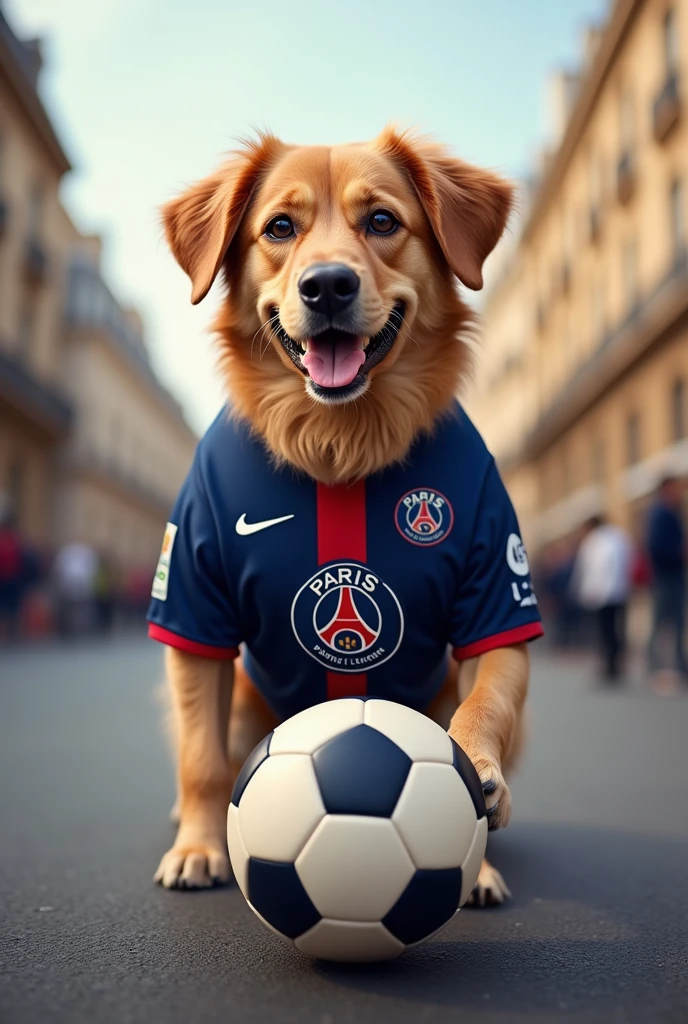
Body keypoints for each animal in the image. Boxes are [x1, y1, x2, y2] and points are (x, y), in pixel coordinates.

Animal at [150, 125, 544, 905]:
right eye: (279, 228)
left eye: (383, 221)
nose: (327, 284)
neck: (340, 445)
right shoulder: (191, 606)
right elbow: (202, 757)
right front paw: (199, 847)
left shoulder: (498, 597)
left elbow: (484, 703)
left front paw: (477, 783)